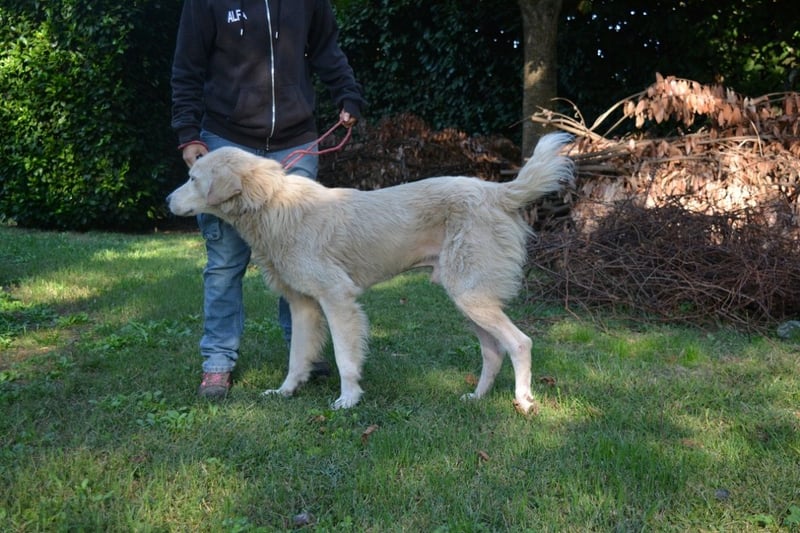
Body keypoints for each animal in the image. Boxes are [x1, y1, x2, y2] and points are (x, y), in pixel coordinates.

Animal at [168, 133, 573, 413]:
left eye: (193, 178)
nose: (167, 200)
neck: (271, 205)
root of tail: (498, 191)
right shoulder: (303, 306)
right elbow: (297, 357)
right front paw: (285, 392)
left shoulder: (337, 299)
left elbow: (345, 357)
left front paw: (348, 401)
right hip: (468, 299)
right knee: (493, 351)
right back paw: (475, 397)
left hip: (471, 296)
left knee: (520, 343)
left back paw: (524, 400)